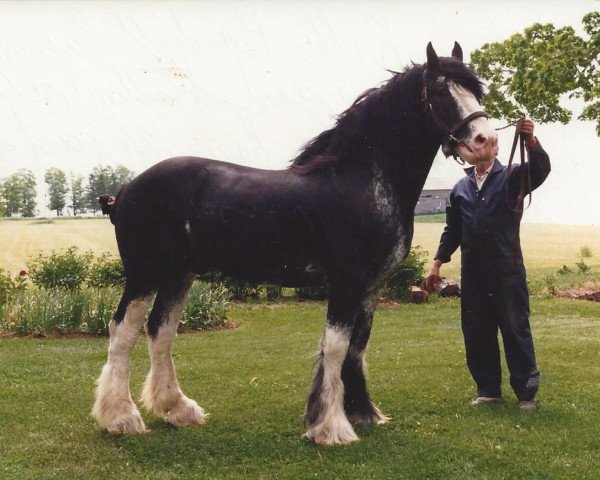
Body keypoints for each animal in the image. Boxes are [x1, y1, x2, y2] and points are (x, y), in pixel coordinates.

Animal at [92, 43, 496, 444]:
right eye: (441, 91)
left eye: (476, 90)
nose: (486, 142)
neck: (364, 179)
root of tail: (125, 191)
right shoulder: (346, 283)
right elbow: (335, 346)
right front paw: (331, 426)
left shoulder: (371, 288)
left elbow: (358, 346)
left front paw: (363, 413)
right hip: (144, 275)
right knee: (123, 331)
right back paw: (120, 417)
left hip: (178, 276)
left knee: (161, 331)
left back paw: (177, 409)